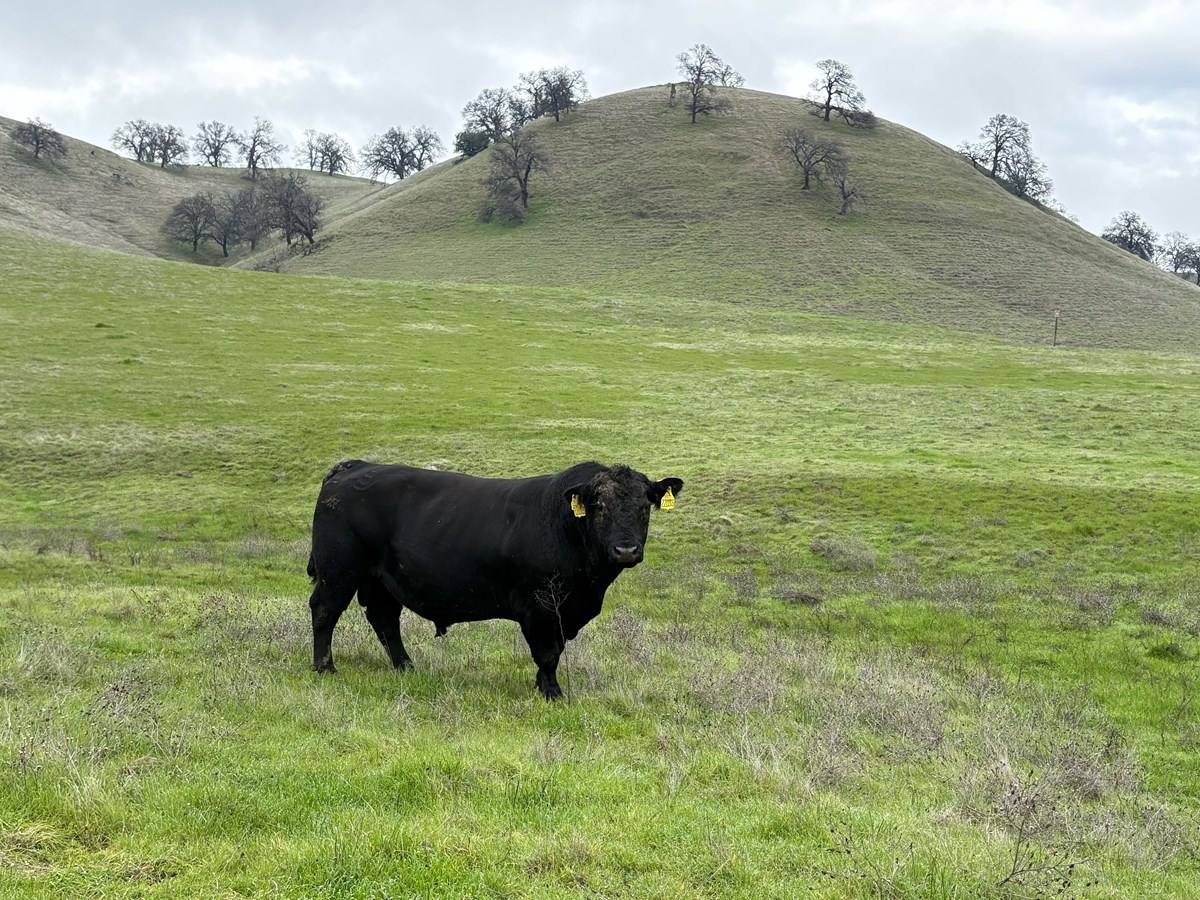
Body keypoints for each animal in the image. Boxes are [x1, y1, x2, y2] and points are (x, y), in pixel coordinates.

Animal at [306, 460, 683, 699]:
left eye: (644, 507)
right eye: (599, 506)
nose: (626, 549)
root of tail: (354, 466)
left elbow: (555, 650)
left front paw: (542, 687)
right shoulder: (540, 607)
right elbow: (548, 653)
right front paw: (553, 693)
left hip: (380, 580)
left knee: (384, 620)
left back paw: (407, 667)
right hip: (338, 572)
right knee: (324, 611)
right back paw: (325, 668)